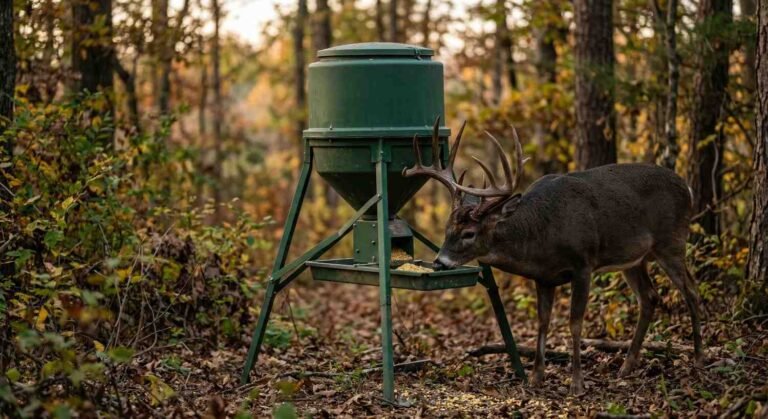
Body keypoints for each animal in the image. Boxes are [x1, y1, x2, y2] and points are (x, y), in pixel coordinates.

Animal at [403, 119, 704, 396]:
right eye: (447, 229)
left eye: (469, 233)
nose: (440, 262)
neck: (542, 234)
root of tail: (688, 188)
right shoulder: (544, 278)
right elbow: (543, 322)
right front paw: (536, 378)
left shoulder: (583, 263)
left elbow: (574, 323)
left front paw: (576, 384)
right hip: (634, 258)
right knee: (649, 297)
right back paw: (626, 367)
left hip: (671, 241)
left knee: (691, 290)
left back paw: (699, 359)